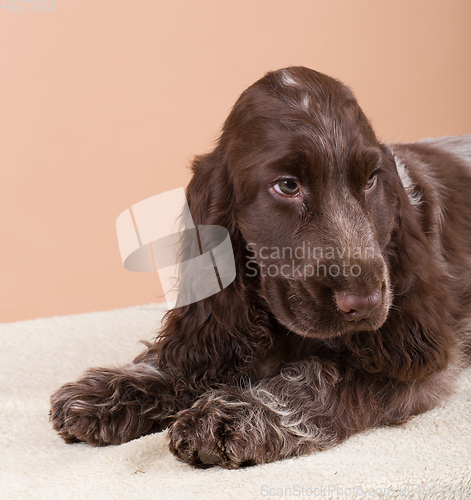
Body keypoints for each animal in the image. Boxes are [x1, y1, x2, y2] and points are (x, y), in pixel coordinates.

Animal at [50, 66, 471, 468]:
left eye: (370, 181)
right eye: (287, 186)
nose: (365, 304)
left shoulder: (419, 354)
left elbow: (322, 374)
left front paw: (236, 414)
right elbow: (188, 358)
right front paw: (109, 391)